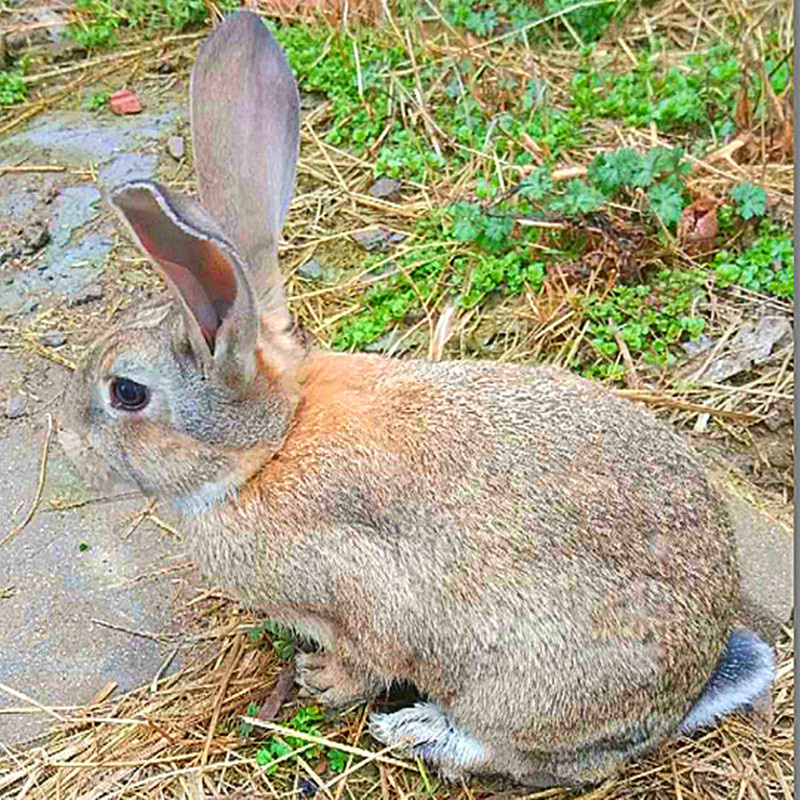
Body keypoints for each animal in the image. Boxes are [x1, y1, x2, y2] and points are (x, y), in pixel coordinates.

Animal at [62, 10, 776, 788]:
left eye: (127, 393)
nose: (64, 438)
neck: (270, 447)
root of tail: (687, 689)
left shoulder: (358, 595)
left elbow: (368, 658)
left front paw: (323, 681)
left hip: (523, 689)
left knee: (532, 756)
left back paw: (420, 731)